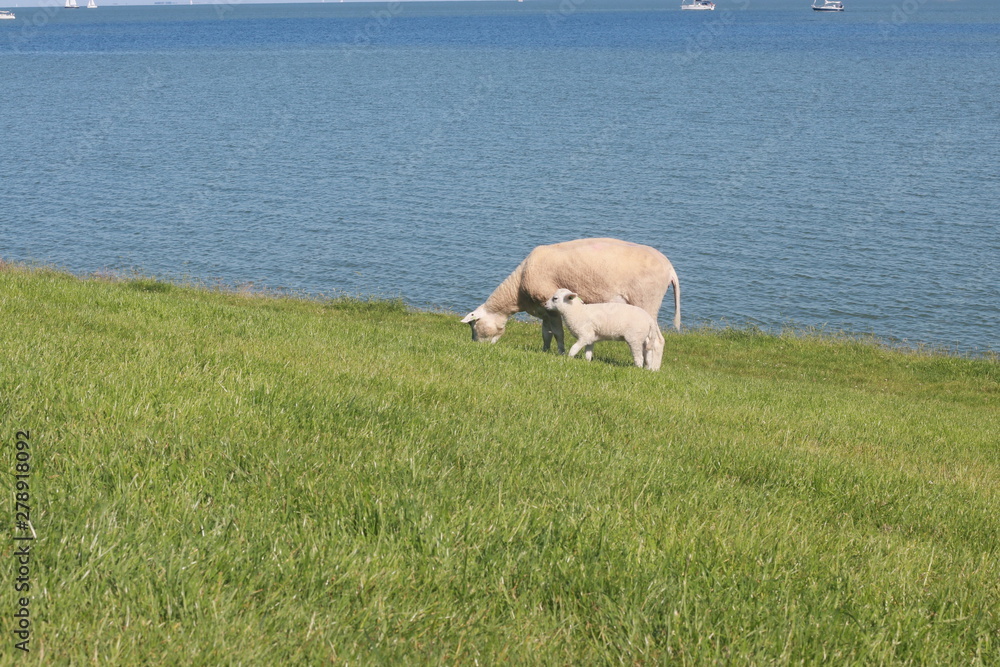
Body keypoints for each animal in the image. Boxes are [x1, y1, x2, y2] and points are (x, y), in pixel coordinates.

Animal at [462, 238, 680, 353]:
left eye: (474, 325)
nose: (476, 347)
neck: (517, 291)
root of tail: (670, 269)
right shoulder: (543, 309)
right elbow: (546, 333)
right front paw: (545, 351)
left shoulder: (551, 306)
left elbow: (558, 332)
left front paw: (560, 352)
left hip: (647, 300)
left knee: (657, 341)